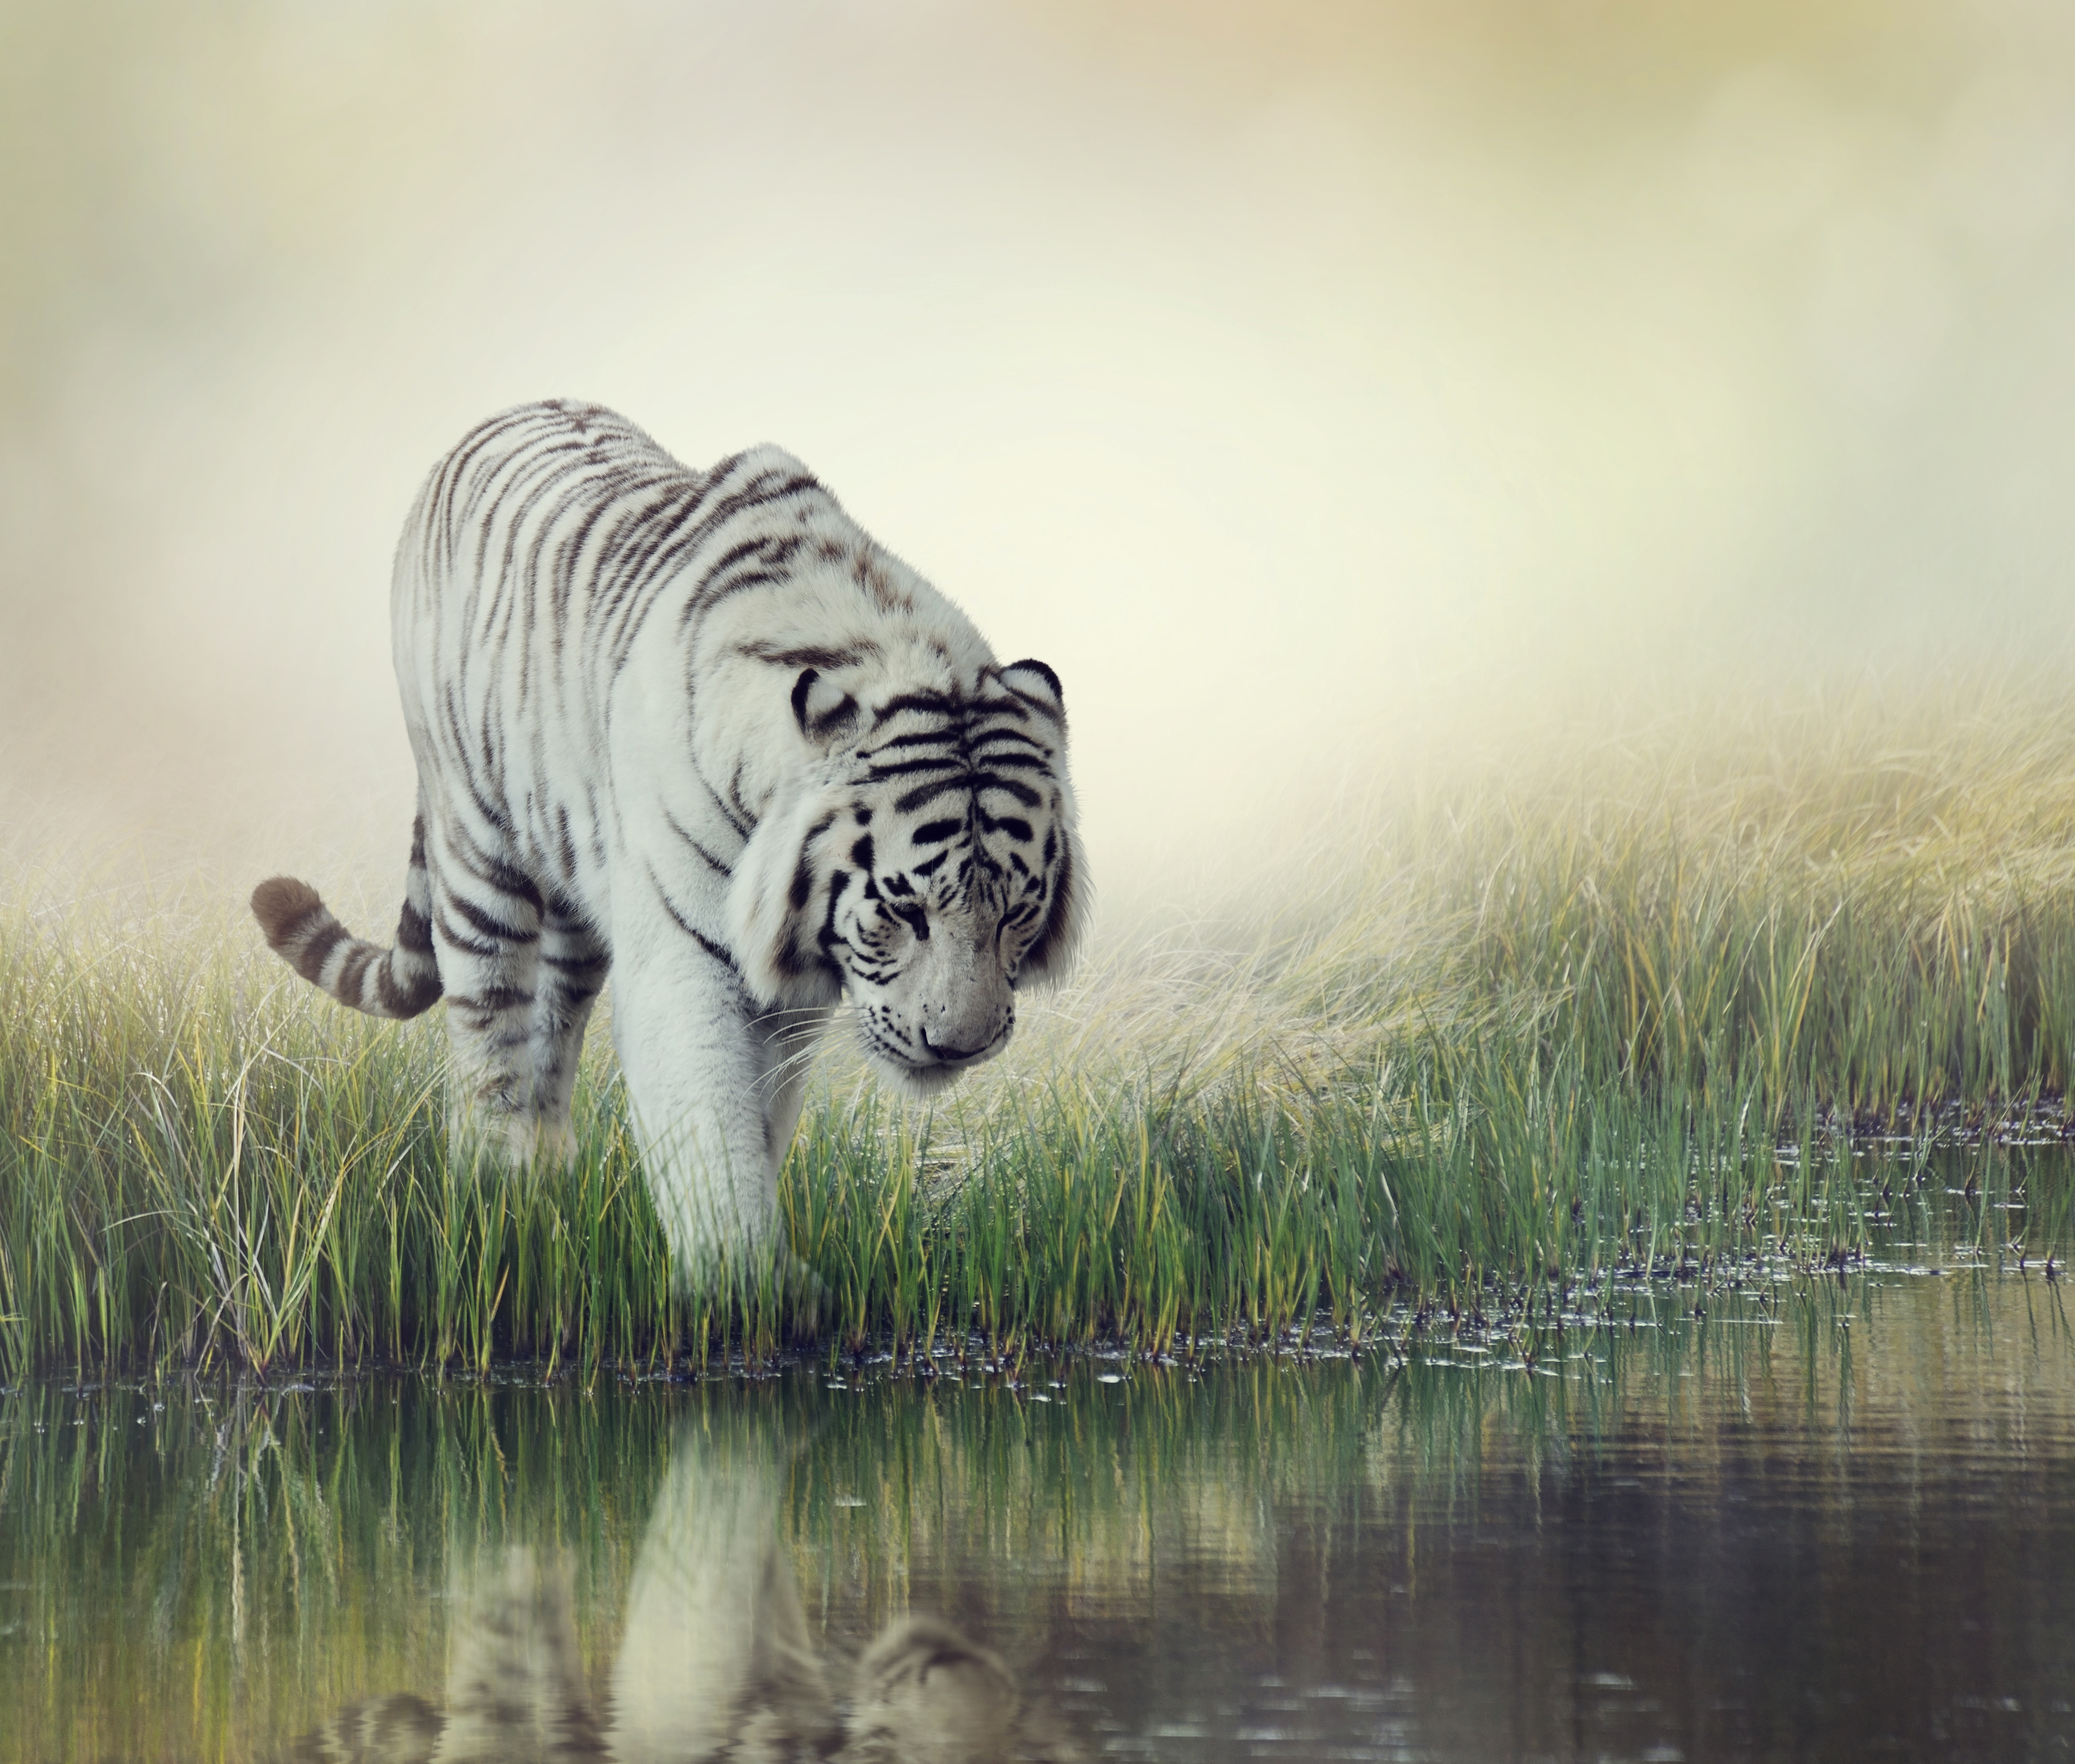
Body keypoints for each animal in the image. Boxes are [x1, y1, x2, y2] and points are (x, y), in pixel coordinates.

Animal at [251, 400, 1086, 1276]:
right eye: (904, 911)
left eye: (1016, 914)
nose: (958, 1048)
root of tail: (498, 419)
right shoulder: (685, 957)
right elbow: (710, 1123)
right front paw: (745, 1280)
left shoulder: (785, 994)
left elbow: (760, 1118)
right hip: (477, 852)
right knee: (489, 1035)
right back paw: (494, 1191)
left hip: (578, 899)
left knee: (552, 1035)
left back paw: (548, 1181)